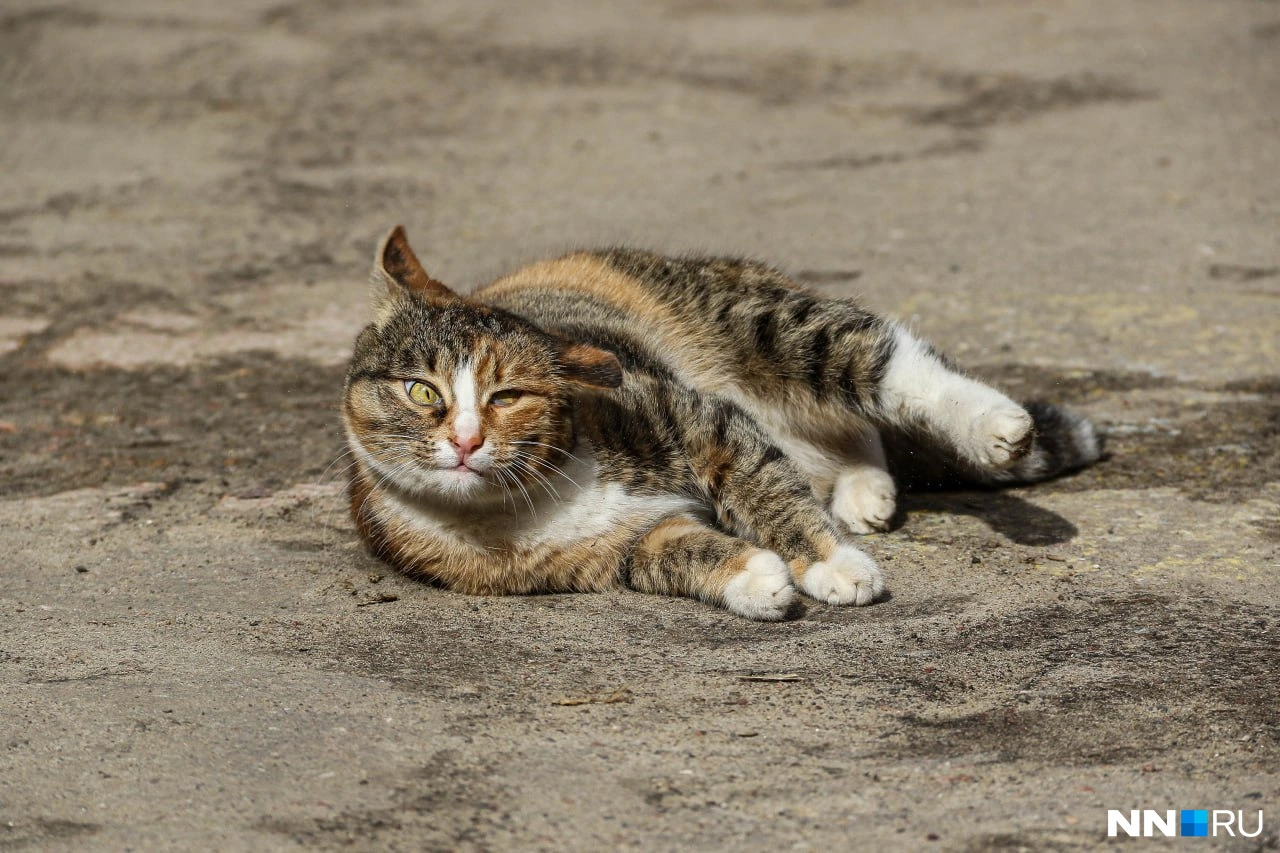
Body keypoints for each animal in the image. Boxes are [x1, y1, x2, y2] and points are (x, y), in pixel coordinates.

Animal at [340, 222, 1100, 614]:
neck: (527, 501)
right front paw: (757, 578)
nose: (466, 440)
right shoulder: (622, 551)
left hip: (761, 321)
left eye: (507, 396)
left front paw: (833, 565)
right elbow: (677, 552)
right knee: (852, 430)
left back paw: (995, 426)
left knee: (883, 361)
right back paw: (865, 489)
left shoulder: (696, 418)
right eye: (420, 392)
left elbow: (766, 487)